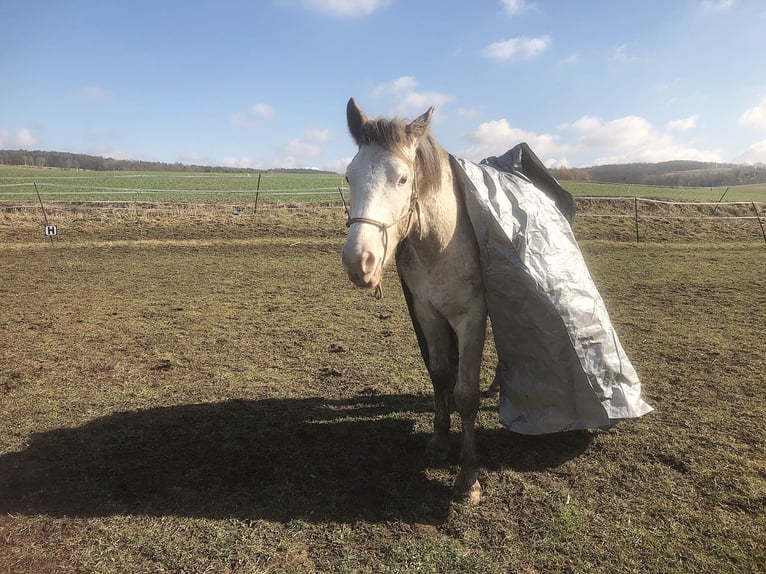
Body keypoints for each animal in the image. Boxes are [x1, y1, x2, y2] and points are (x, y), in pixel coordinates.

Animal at [344, 99, 488, 504]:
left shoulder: (472, 319)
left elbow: (466, 394)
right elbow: (440, 374)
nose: (358, 262)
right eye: (349, 177)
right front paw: (440, 440)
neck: (442, 242)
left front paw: (467, 477)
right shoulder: (428, 315)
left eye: (402, 179)